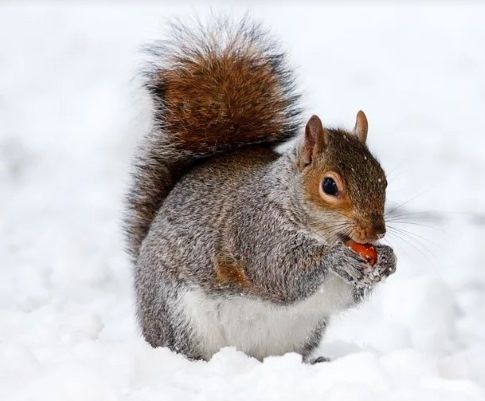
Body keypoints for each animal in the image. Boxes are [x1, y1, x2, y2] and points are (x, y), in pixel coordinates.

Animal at [125, 16, 398, 362]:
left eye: (384, 179)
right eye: (329, 185)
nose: (376, 232)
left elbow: (345, 294)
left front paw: (388, 259)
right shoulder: (255, 231)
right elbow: (279, 272)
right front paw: (335, 258)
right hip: (179, 317)